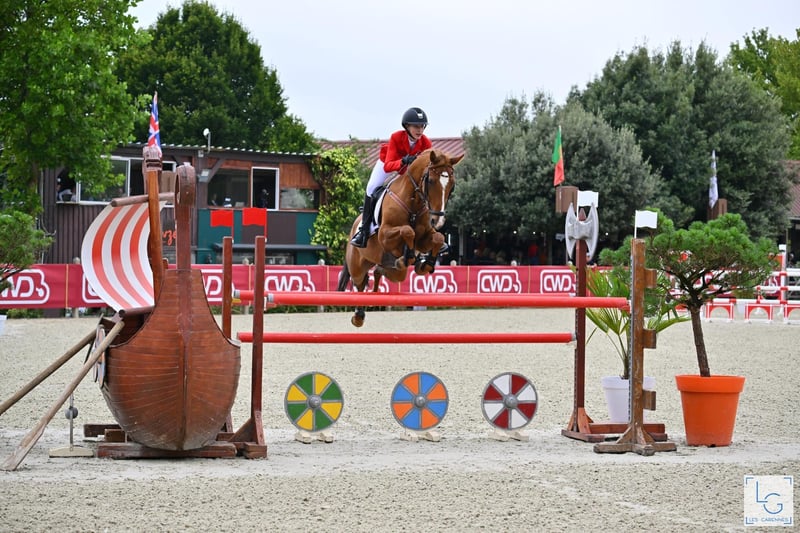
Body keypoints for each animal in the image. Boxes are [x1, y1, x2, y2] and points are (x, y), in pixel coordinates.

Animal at [337, 148, 464, 327]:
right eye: (431, 181)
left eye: (452, 186)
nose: (437, 221)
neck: (413, 201)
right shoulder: (384, 235)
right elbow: (407, 230)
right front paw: (409, 255)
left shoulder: (424, 239)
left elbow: (438, 238)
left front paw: (425, 264)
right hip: (357, 266)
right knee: (359, 283)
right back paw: (358, 316)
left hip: (396, 273)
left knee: (380, 271)